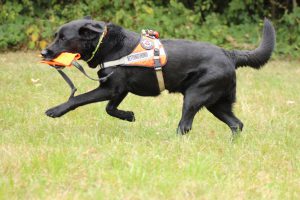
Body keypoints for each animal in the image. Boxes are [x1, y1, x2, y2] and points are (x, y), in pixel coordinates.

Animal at [41, 17, 276, 135]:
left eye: (63, 38)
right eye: (56, 36)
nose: (44, 53)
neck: (107, 44)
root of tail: (229, 53)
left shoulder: (110, 88)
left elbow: (78, 99)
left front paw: (56, 110)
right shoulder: (119, 90)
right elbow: (110, 109)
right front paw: (128, 115)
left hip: (195, 96)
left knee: (185, 125)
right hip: (216, 103)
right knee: (237, 124)